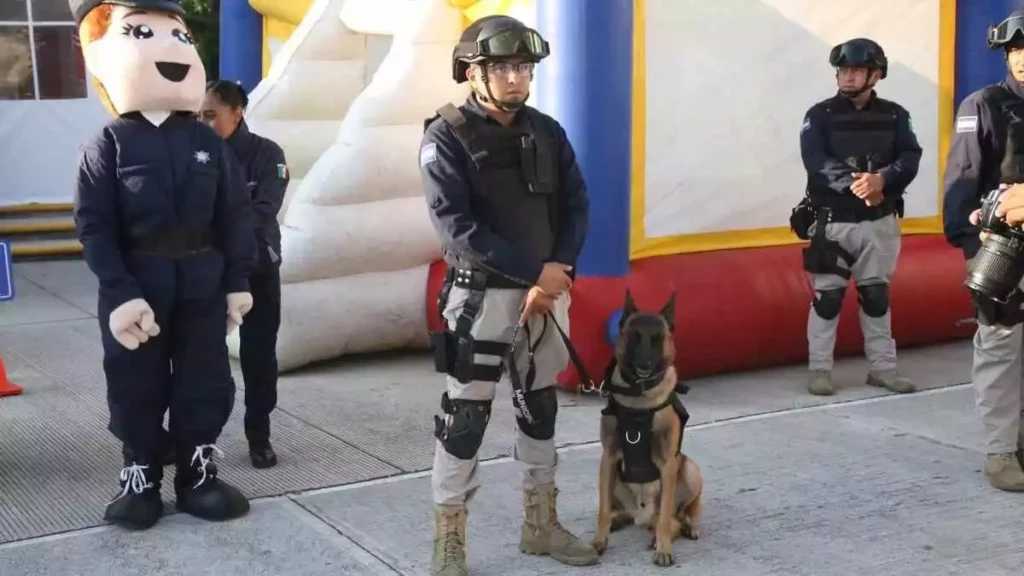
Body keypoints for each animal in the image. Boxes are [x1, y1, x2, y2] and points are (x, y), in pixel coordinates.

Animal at [593, 291, 704, 565]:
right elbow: (602, 510)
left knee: (678, 517)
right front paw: (599, 540)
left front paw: (663, 549)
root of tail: (641, 516)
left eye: (657, 338)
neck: (639, 396)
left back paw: (683, 529)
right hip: (611, 478)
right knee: (621, 511)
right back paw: (618, 521)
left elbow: (665, 519)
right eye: (634, 336)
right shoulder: (608, 458)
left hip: (690, 470)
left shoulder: (667, 464)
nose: (644, 364)